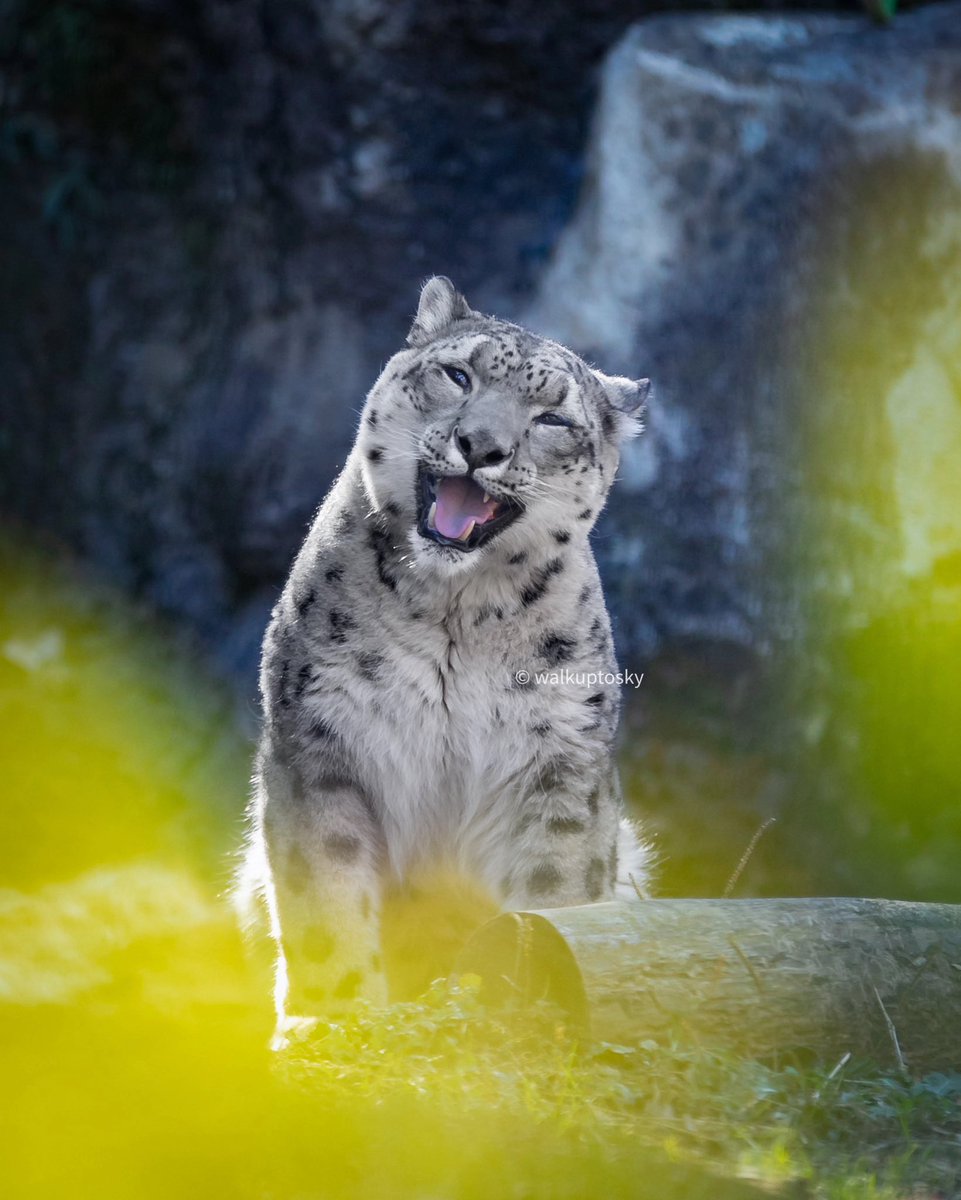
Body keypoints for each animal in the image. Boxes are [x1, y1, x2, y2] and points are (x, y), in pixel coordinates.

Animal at [239, 276, 653, 1043]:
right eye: (459, 375)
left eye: (552, 419)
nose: (480, 445)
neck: (452, 615)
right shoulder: (319, 744)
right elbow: (326, 905)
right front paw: (336, 1018)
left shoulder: (558, 758)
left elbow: (553, 889)